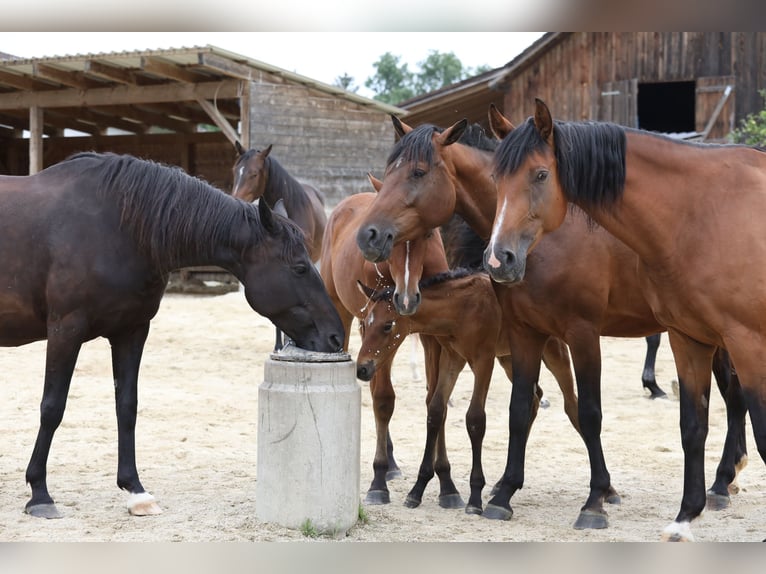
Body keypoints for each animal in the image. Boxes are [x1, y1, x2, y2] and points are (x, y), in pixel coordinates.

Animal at [0, 152, 344, 520]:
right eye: (299, 268)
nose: (336, 337)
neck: (118, 228)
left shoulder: (131, 331)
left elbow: (127, 406)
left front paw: (136, 491)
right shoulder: (66, 330)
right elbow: (52, 407)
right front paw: (39, 492)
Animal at [356, 268, 580, 514]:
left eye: (388, 325)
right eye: (365, 325)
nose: (362, 368)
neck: (462, 308)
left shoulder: (483, 361)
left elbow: (475, 419)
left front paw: (475, 497)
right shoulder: (452, 358)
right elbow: (436, 411)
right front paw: (417, 490)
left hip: (553, 350)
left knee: (571, 405)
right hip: (511, 357)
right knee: (534, 399)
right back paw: (503, 482)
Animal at [483, 98, 762, 541]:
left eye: (541, 174)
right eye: (495, 178)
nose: (498, 260)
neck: (702, 213)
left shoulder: (584, 332)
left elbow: (589, 412)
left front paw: (595, 501)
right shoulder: (687, 338)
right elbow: (691, 425)